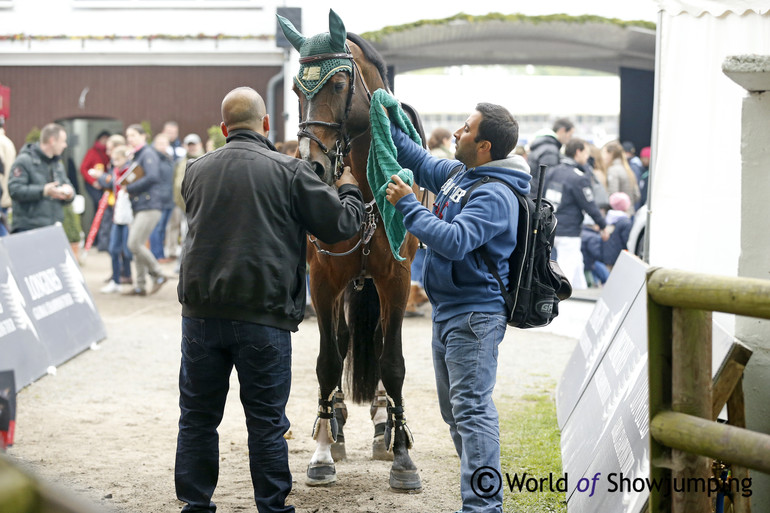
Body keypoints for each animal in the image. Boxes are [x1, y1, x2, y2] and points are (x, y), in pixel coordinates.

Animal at [276, 11, 420, 492]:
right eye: (296, 91)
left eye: (339, 85)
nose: (313, 166)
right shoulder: (322, 281)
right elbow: (327, 361)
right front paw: (322, 452)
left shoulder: (397, 280)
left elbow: (392, 363)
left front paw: (402, 455)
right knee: (340, 344)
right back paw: (334, 423)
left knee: (377, 341)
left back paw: (383, 424)